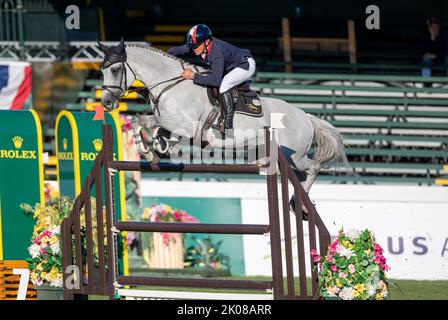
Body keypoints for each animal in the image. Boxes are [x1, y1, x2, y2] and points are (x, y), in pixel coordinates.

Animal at [99, 41, 350, 194]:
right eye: (102, 70)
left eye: (115, 70)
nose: (106, 103)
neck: (171, 84)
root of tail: (306, 117)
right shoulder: (172, 123)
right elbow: (153, 127)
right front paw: (158, 149)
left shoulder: (184, 125)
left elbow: (144, 120)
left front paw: (147, 149)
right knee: (300, 173)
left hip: (294, 155)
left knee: (313, 167)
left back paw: (301, 206)